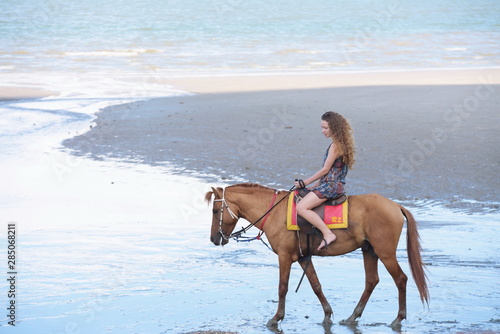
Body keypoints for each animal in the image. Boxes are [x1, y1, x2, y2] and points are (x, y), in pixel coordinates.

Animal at [205, 184, 428, 330]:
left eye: (215, 210)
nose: (214, 238)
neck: (275, 212)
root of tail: (396, 206)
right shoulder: (304, 258)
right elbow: (316, 285)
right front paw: (327, 314)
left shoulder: (285, 257)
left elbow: (282, 288)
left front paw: (276, 318)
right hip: (369, 250)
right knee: (371, 281)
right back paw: (352, 316)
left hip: (384, 252)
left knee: (401, 279)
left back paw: (398, 318)